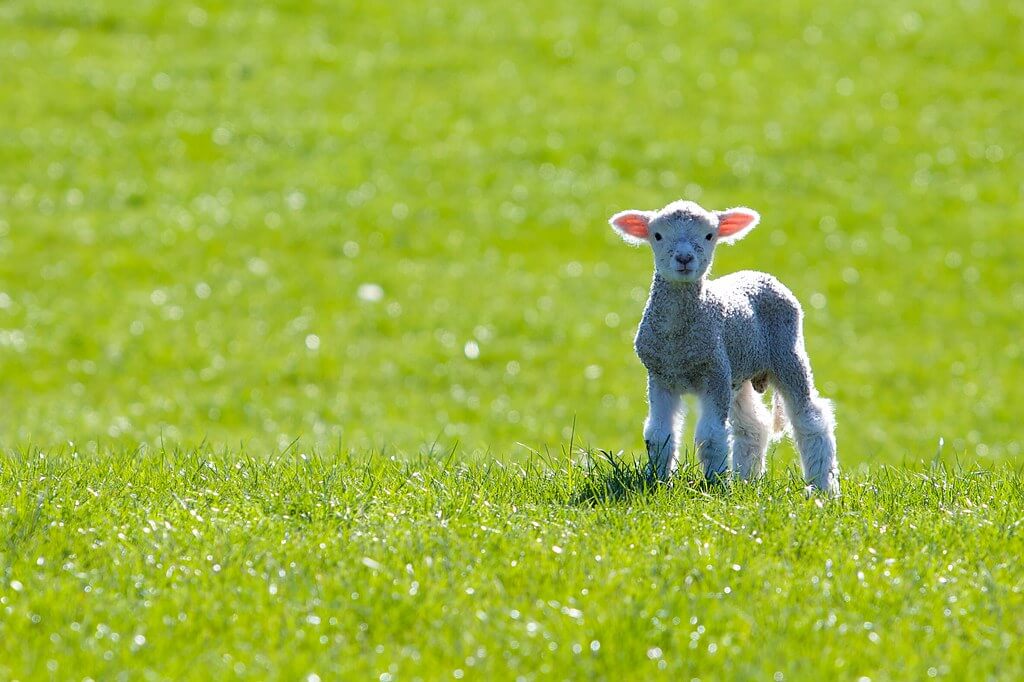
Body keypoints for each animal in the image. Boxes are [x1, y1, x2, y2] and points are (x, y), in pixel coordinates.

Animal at [608, 199, 840, 495]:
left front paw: (714, 485)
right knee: (754, 425)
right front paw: (658, 482)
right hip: (738, 370)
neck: (678, 341)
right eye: (657, 235)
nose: (684, 259)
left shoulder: (714, 373)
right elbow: (659, 435)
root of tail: (760, 274)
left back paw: (823, 486)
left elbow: (711, 436)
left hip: (787, 353)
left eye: (709, 236)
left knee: (811, 419)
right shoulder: (660, 376)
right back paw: (747, 480)